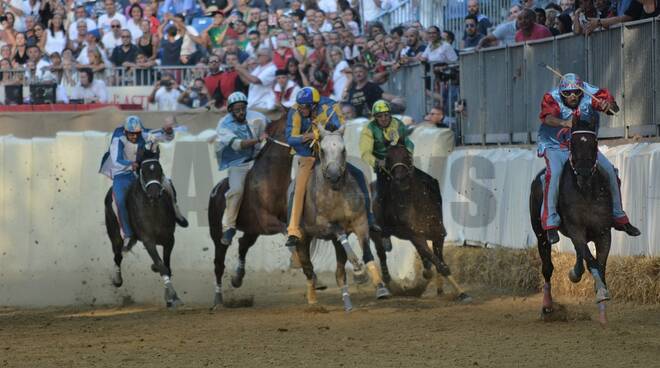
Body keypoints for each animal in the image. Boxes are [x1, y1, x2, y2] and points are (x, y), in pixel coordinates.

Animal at [104, 142, 182, 310]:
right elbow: (161, 265)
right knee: (118, 255)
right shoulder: (148, 240)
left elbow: (166, 266)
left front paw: (170, 298)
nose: (154, 193)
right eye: (144, 171)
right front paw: (173, 296)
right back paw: (117, 279)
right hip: (115, 234)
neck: (153, 209)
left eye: (160, 170)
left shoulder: (169, 239)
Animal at [292, 124, 390, 310]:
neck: (336, 192)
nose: (334, 175)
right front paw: (358, 270)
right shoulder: (322, 225)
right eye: (322, 150)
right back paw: (312, 299)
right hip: (302, 238)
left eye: (343, 149)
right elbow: (340, 231)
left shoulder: (361, 222)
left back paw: (347, 302)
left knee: (338, 273)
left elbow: (367, 253)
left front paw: (380, 287)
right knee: (308, 269)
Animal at [368, 141, 472, 302]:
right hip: (376, 232)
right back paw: (386, 280)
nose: (401, 180)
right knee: (381, 253)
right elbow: (440, 264)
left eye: (407, 155)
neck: (418, 205)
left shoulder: (438, 235)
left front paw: (443, 288)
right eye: (388, 158)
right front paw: (462, 293)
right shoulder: (417, 237)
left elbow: (439, 261)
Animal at [532, 119, 612, 324]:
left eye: (594, 143)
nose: (583, 173)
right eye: (572, 143)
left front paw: (602, 304)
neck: (586, 191)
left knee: (579, 253)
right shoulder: (576, 229)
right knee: (547, 268)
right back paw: (547, 307)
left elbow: (600, 264)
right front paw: (601, 293)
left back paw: (575, 273)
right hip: (540, 234)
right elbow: (591, 261)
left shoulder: (603, 232)